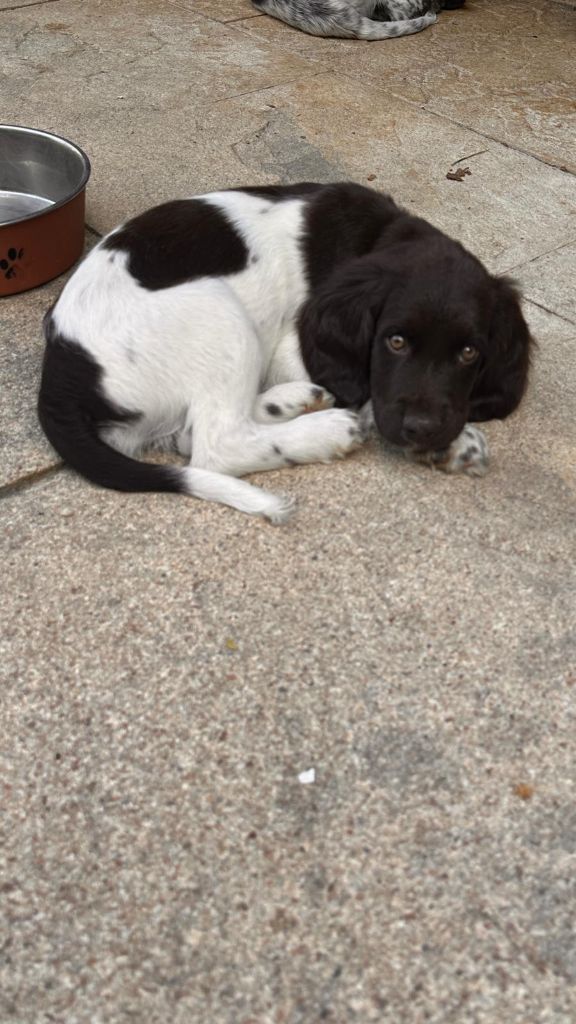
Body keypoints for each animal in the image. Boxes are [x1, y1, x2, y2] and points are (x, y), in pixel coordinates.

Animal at [38, 182, 532, 523]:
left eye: (468, 353)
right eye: (395, 342)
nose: (424, 430)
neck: (376, 238)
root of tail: (63, 370)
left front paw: (446, 443)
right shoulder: (294, 349)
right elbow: (368, 395)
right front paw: (449, 442)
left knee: (191, 432)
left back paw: (291, 401)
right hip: (221, 313)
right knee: (215, 444)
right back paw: (324, 430)